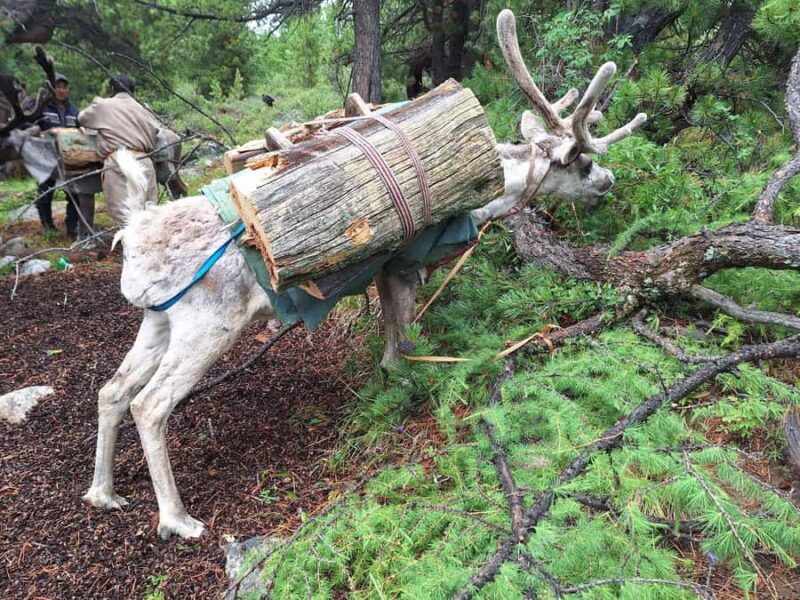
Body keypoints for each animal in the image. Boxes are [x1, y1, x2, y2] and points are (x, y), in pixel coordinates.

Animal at [82, 9, 646, 540]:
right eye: (580, 163)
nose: (610, 179)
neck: (487, 195)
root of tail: (133, 235)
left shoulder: (384, 271)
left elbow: (392, 334)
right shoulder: (404, 262)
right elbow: (401, 341)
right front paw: (410, 384)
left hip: (157, 319)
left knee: (112, 390)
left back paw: (103, 493)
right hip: (207, 324)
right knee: (150, 404)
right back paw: (177, 519)